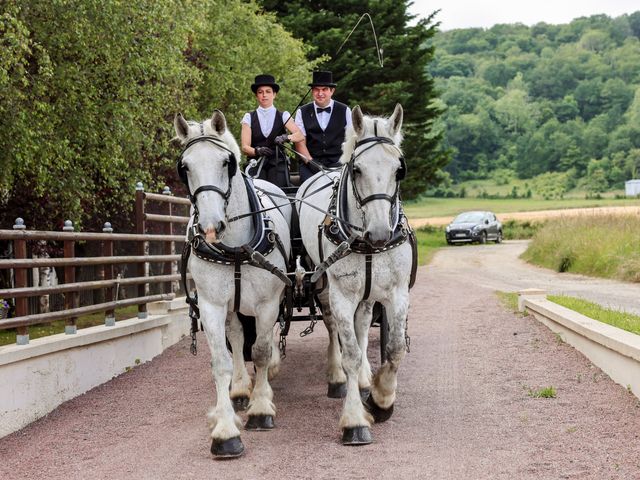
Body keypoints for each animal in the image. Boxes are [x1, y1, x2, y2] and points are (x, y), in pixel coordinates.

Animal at [176, 109, 294, 458]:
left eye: (226, 162)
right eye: (185, 167)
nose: (211, 226)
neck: (235, 248)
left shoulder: (268, 302)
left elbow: (262, 351)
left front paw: (261, 409)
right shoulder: (212, 305)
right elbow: (222, 360)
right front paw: (226, 430)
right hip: (231, 305)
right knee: (238, 336)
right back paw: (241, 389)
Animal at [296, 103, 416, 444]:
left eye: (398, 169)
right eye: (358, 169)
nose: (379, 233)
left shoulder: (397, 293)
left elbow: (395, 348)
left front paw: (381, 399)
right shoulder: (341, 294)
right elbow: (348, 350)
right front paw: (354, 421)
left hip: (367, 293)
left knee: (362, 325)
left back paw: (365, 379)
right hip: (324, 286)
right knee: (334, 327)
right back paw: (339, 378)